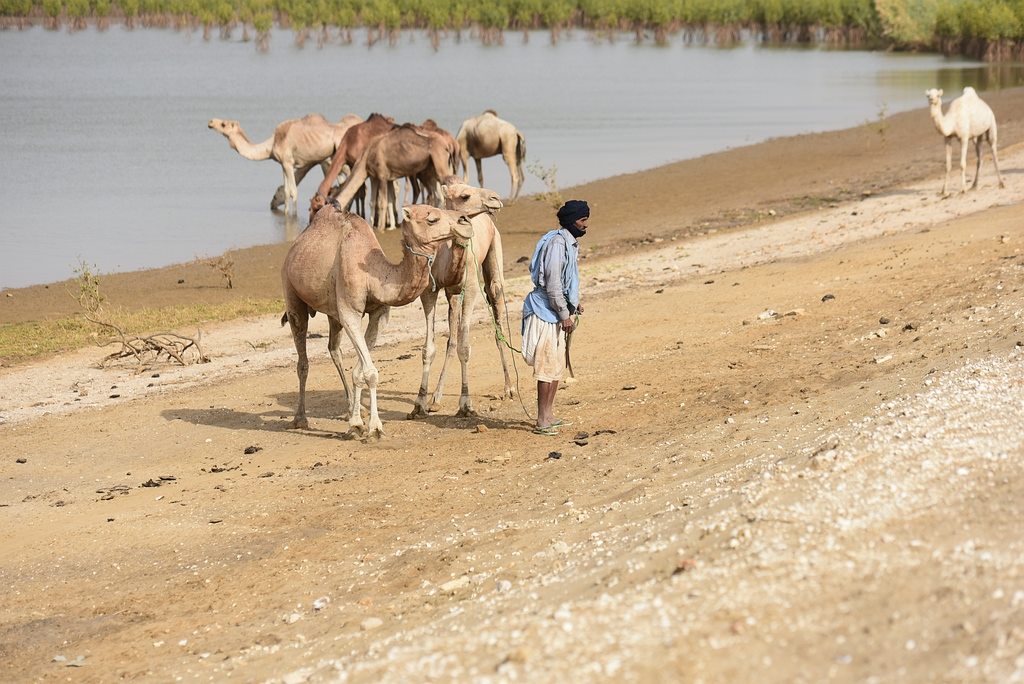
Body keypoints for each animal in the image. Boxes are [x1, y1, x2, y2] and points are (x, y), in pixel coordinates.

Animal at [205, 112, 362, 214]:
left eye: (223, 124)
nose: (210, 122)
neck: (271, 145)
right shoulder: (283, 164)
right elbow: (286, 191)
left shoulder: (288, 161)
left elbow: (293, 191)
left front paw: (292, 216)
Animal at [280, 201, 471, 438]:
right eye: (432, 219)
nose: (465, 220)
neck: (373, 273)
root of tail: (296, 245)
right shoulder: (349, 311)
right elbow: (370, 372)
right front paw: (375, 427)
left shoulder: (379, 312)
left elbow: (359, 371)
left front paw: (356, 423)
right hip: (292, 293)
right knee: (302, 360)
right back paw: (300, 418)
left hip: (332, 312)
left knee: (334, 349)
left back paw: (350, 408)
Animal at [409, 179, 516, 419]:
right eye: (465, 196)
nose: (495, 198)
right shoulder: (430, 290)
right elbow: (430, 348)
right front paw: (420, 403)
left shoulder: (471, 288)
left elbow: (465, 348)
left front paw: (465, 404)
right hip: (453, 295)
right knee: (452, 340)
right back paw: (436, 397)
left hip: (494, 265)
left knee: (498, 325)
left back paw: (509, 388)